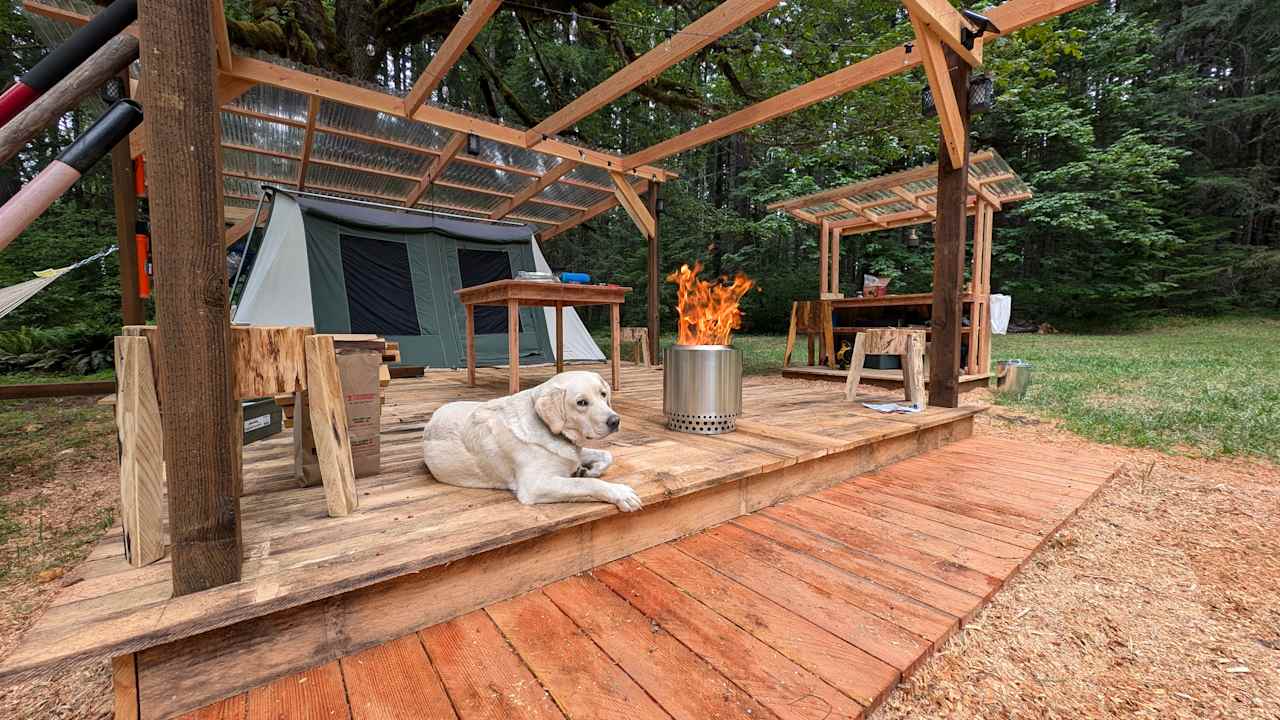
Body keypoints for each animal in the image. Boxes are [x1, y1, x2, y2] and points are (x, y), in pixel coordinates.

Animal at [419, 368, 640, 509]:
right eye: (581, 402)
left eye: (603, 394)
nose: (615, 421)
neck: (548, 427)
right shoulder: (535, 485)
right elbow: (586, 485)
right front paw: (621, 493)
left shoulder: (573, 452)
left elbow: (607, 455)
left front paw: (588, 470)